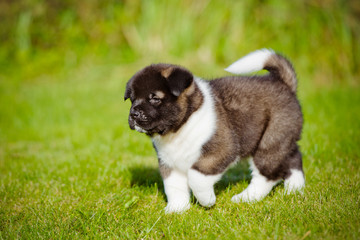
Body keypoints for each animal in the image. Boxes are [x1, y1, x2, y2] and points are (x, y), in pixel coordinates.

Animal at [125, 49, 306, 213]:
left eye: (155, 98)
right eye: (132, 99)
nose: (133, 114)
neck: (181, 126)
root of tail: (283, 84)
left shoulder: (221, 151)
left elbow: (196, 176)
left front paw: (207, 200)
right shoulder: (169, 162)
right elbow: (174, 187)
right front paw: (177, 209)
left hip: (270, 141)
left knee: (267, 174)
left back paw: (247, 197)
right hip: (283, 139)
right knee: (294, 158)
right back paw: (294, 189)